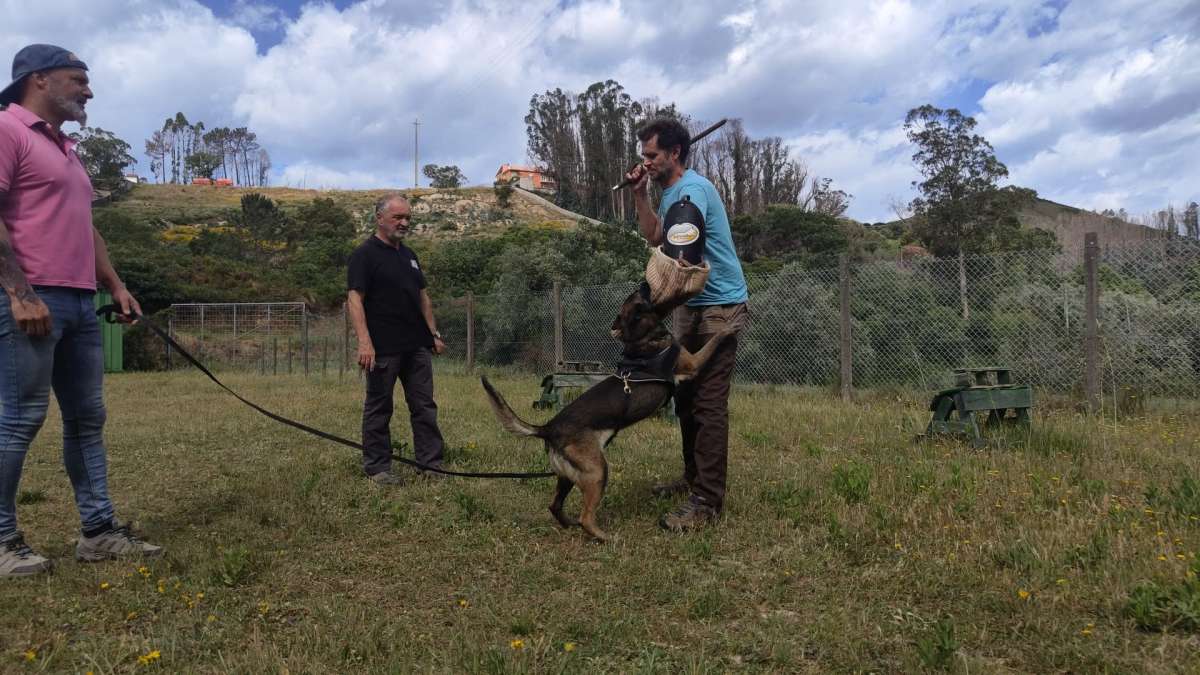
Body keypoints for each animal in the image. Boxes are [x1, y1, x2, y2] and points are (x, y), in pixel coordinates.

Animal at [480, 281, 729, 538]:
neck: (640, 339)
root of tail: (548, 428)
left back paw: (570, 524)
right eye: (640, 296)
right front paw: (727, 329)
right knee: (586, 517)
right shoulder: (692, 364)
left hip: (568, 476)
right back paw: (605, 537)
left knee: (555, 506)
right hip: (598, 471)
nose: (644, 282)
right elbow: (712, 341)